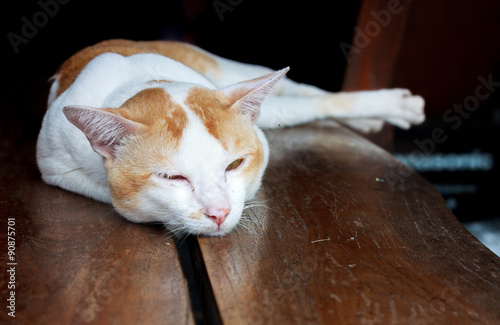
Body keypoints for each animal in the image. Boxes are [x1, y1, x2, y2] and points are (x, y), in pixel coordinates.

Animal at [36, 38, 426, 235]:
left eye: (234, 164)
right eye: (172, 178)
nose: (219, 212)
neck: (143, 80)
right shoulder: (53, 166)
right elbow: (108, 191)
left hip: (231, 73)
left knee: (306, 94)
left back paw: (390, 108)